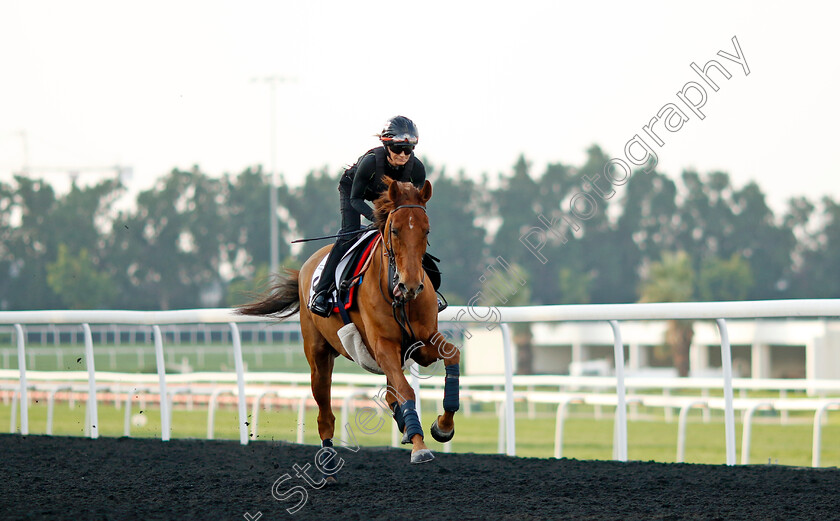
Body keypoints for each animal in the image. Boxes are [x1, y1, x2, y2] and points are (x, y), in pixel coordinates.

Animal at [236, 178, 460, 468]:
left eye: (426, 230)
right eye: (395, 230)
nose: (410, 285)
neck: (398, 296)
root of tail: (306, 267)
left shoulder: (422, 341)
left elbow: (451, 355)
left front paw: (442, 426)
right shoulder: (382, 345)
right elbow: (405, 390)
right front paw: (419, 446)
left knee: (390, 394)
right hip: (318, 355)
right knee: (325, 413)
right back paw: (329, 460)